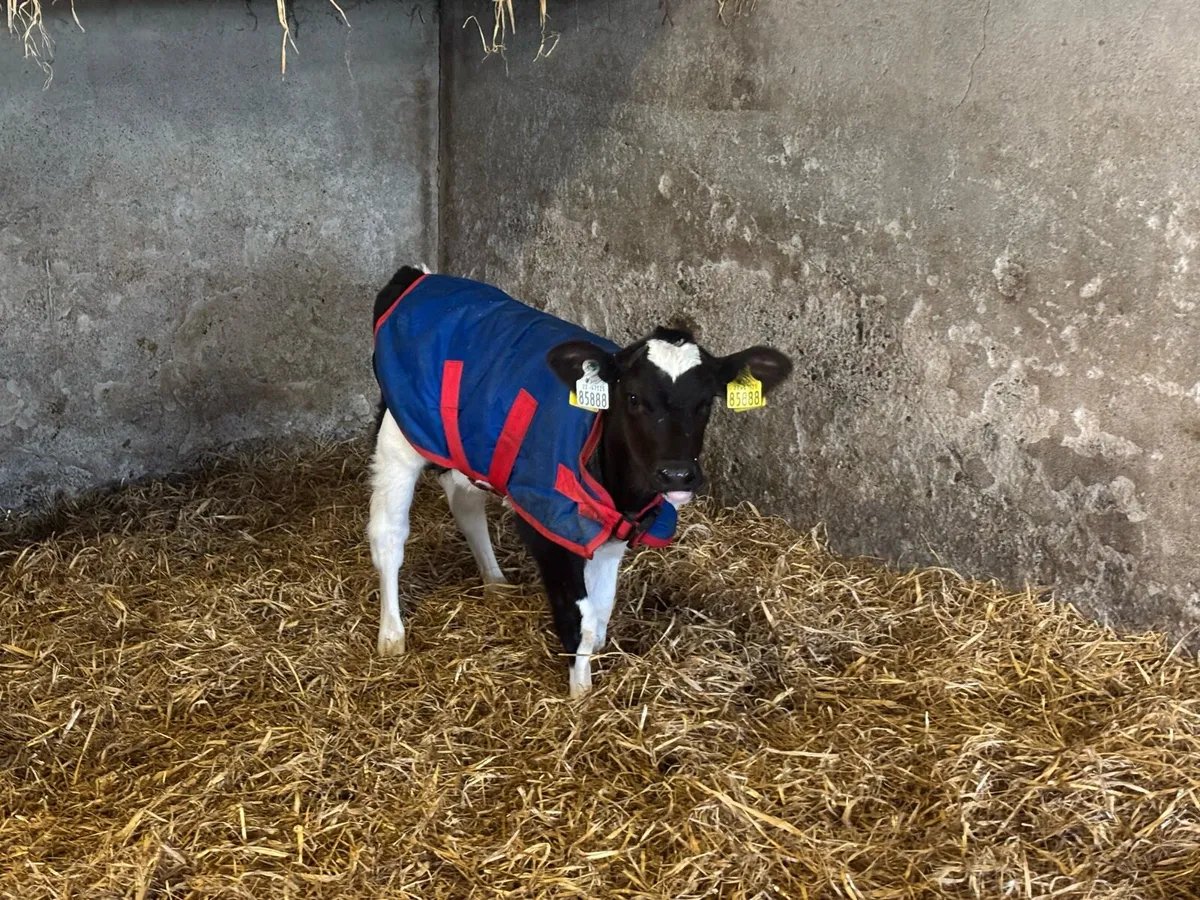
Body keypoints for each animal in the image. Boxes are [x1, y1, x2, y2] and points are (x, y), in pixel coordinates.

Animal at [367, 265, 793, 697]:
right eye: (633, 398)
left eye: (706, 402)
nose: (677, 473)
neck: (620, 489)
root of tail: (419, 277)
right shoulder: (547, 528)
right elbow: (579, 616)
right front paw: (580, 695)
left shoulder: (614, 534)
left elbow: (601, 608)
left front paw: (593, 666)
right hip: (399, 434)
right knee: (389, 536)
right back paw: (391, 635)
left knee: (464, 501)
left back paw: (494, 581)